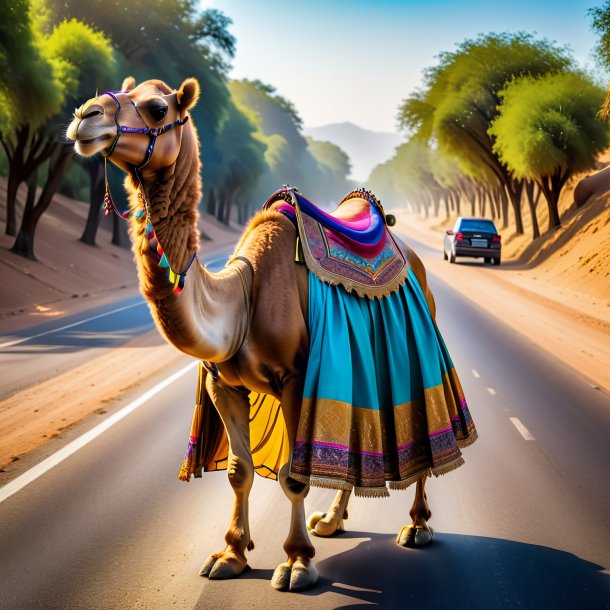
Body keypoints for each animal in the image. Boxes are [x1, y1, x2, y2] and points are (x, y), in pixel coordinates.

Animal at [67, 76, 476, 588]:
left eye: (158, 108)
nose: (85, 116)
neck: (241, 297)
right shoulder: (224, 384)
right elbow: (239, 470)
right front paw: (230, 555)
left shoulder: (297, 380)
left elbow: (292, 475)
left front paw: (298, 563)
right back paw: (331, 520)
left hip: (423, 333)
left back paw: (417, 526)